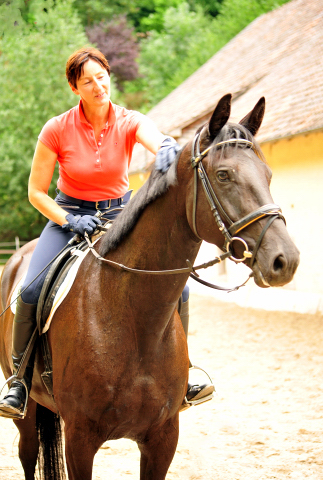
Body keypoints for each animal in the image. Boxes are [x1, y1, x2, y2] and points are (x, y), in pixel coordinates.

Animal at [0, 94, 300, 480]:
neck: (131, 317)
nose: (285, 259)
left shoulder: (162, 438)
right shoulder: (80, 439)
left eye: (268, 175)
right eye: (223, 175)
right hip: (27, 412)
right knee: (27, 452)